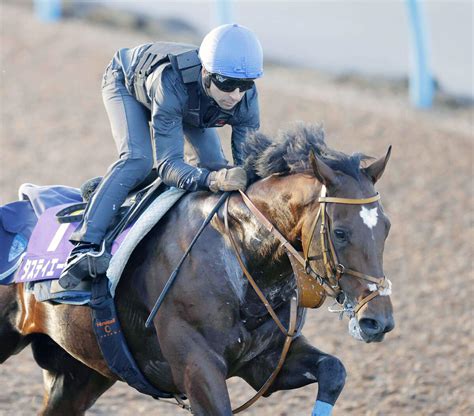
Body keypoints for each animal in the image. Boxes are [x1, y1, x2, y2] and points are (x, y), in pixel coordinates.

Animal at [0, 123, 392, 416]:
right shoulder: (198, 369)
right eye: (340, 232)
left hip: (81, 369)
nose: (379, 320)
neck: (241, 260)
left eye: (386, 227)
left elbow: (334, 370)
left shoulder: (266, 363)